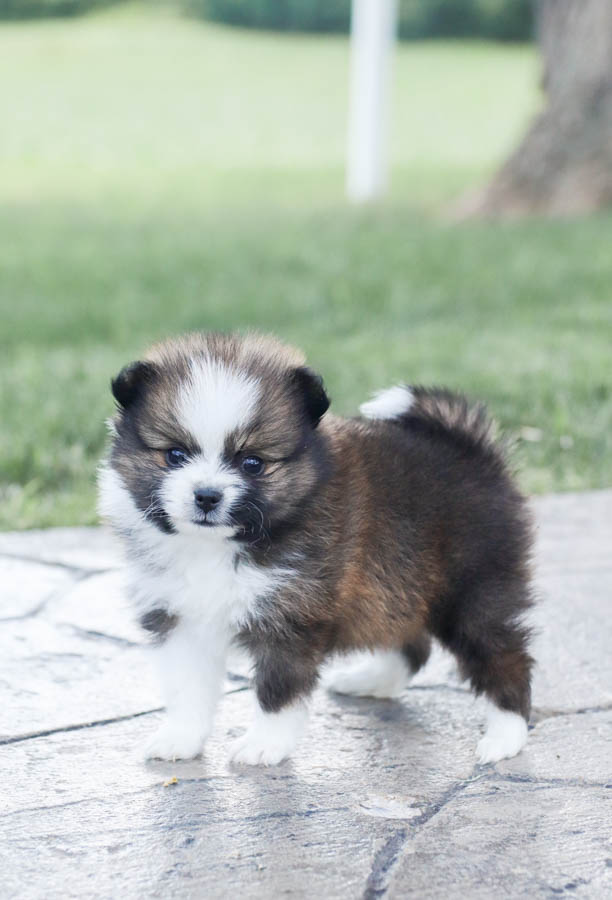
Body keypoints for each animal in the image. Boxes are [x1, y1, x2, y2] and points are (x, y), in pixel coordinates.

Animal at [98, 330, 532, 768]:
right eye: (175, 455)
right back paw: (370, 681)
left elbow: (277, 689)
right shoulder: (179, 615)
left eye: (252, 463)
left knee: (503, 655)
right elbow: (187, 688)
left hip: (473, 589)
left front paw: (264, 744)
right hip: (396, 585)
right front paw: (180, 738)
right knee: (411, 644)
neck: (218, 545)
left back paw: (504, 737)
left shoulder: (291, 616)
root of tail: (472, 451)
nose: (206, 495)